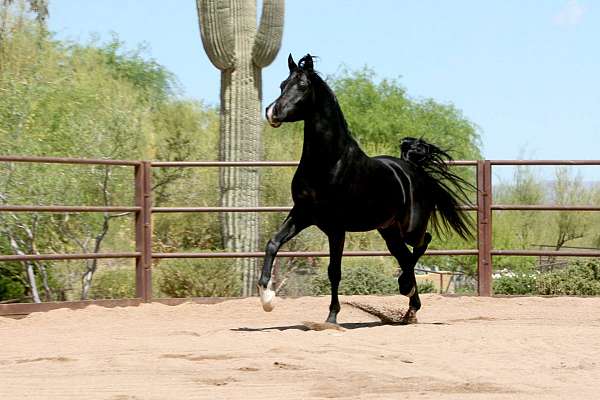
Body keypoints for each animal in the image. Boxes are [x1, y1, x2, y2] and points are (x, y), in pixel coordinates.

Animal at [255, 54, 472, 324]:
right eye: (283, 84)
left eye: (302, 85)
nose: (272, 112)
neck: (329, 162)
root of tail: (413, 168)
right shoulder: (303, 214)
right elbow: (273, 243)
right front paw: (267, 299)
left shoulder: (336, 227)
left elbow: (334, 271)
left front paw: (332, 317)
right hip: (389, 231)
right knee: (404, 256)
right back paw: (410, 308)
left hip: (411, 228)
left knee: (422, 243)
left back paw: (405, 287)